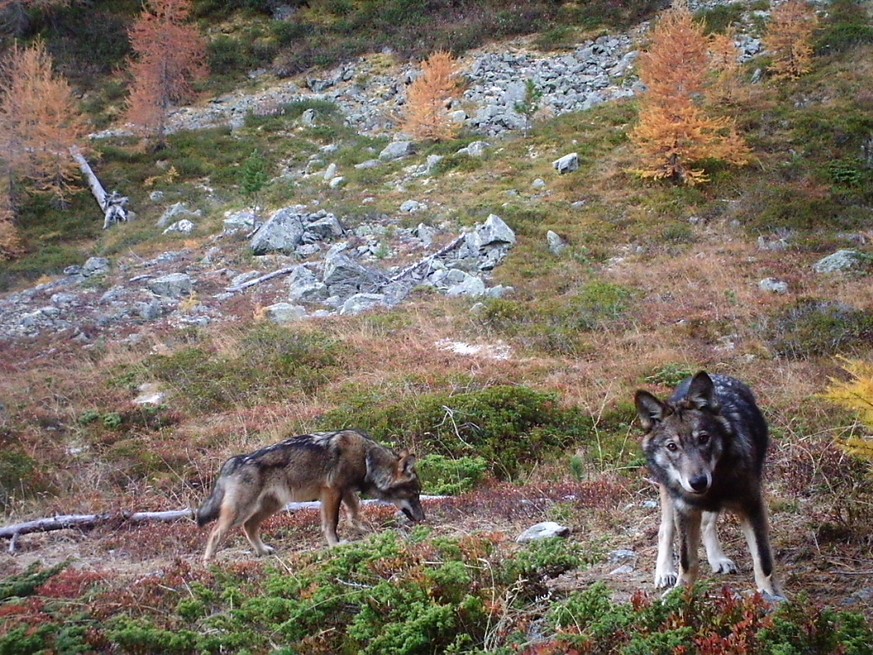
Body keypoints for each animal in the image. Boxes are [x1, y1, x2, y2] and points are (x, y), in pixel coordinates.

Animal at [201, 430, 426, 564]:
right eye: (414, 494)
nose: (423, 519)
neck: (366, 458)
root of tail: (234, 461)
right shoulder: (331, 491)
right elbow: (332, 522)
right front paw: (336, 545)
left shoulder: (346, 491)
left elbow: (354, 513)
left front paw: (363, 530)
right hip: (241, 511)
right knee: (215, 532)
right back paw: (208, 563)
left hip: (272, 506)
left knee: (249, 526)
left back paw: (263, 550)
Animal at [632, 374, 780, 596]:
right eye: (672, 446)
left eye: (703, 438)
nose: (698, 482)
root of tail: (718, 375)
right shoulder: (685, 510)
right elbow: (687, 561)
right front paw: (680, 594)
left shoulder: (752, 506)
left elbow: (763, 561)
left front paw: (769, 596)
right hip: (668, 495)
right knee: (665, 530)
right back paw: (665, 572)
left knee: (707, 524)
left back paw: (718, 560)